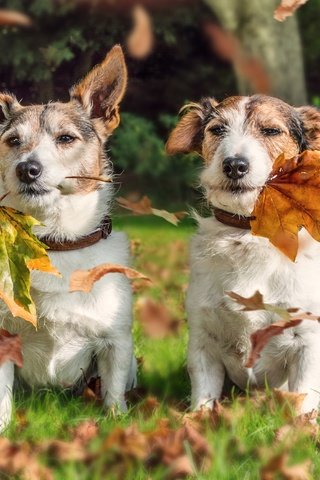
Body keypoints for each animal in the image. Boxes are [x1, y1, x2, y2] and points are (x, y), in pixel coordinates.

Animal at [0, 44, 136, 432]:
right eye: (12, 141)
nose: (26, 169)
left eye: (66, 139)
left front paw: (116, 424)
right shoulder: (3, 340)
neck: (55, 243)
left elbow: (113, 394)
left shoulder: (116, 343)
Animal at [166, 95, 320, 414]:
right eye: (217, 129)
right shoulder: (203, 340)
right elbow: (204, 397)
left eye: (271, 131)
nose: (234, 165)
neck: (249, 235)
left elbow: (303, 399)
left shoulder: (308, 342)